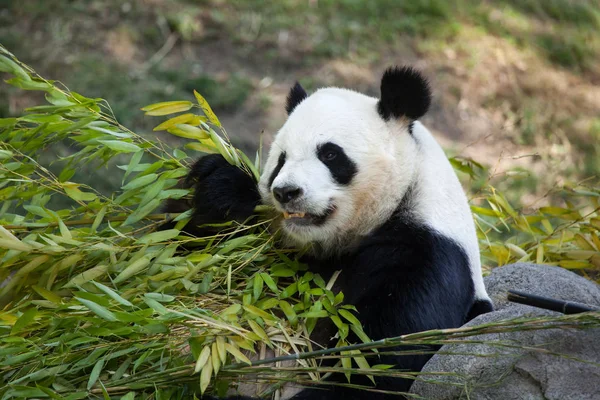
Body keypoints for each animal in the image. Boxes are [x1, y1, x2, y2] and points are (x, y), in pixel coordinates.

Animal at [168, 67, 492, 398]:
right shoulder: (285, 255)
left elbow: (375, 367)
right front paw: (219, 186)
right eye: (281, 159)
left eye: (330, 155)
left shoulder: (429, 257)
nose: (286, 192)